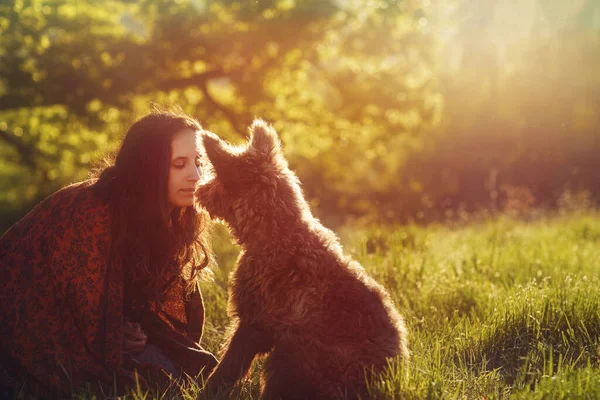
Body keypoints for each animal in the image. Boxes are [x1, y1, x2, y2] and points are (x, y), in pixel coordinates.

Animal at [196, 120, 408, 398]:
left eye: (218, 177)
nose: (199, 190)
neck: (278, 233)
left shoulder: (254, 322)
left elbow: (228, 366)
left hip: (293, 352)